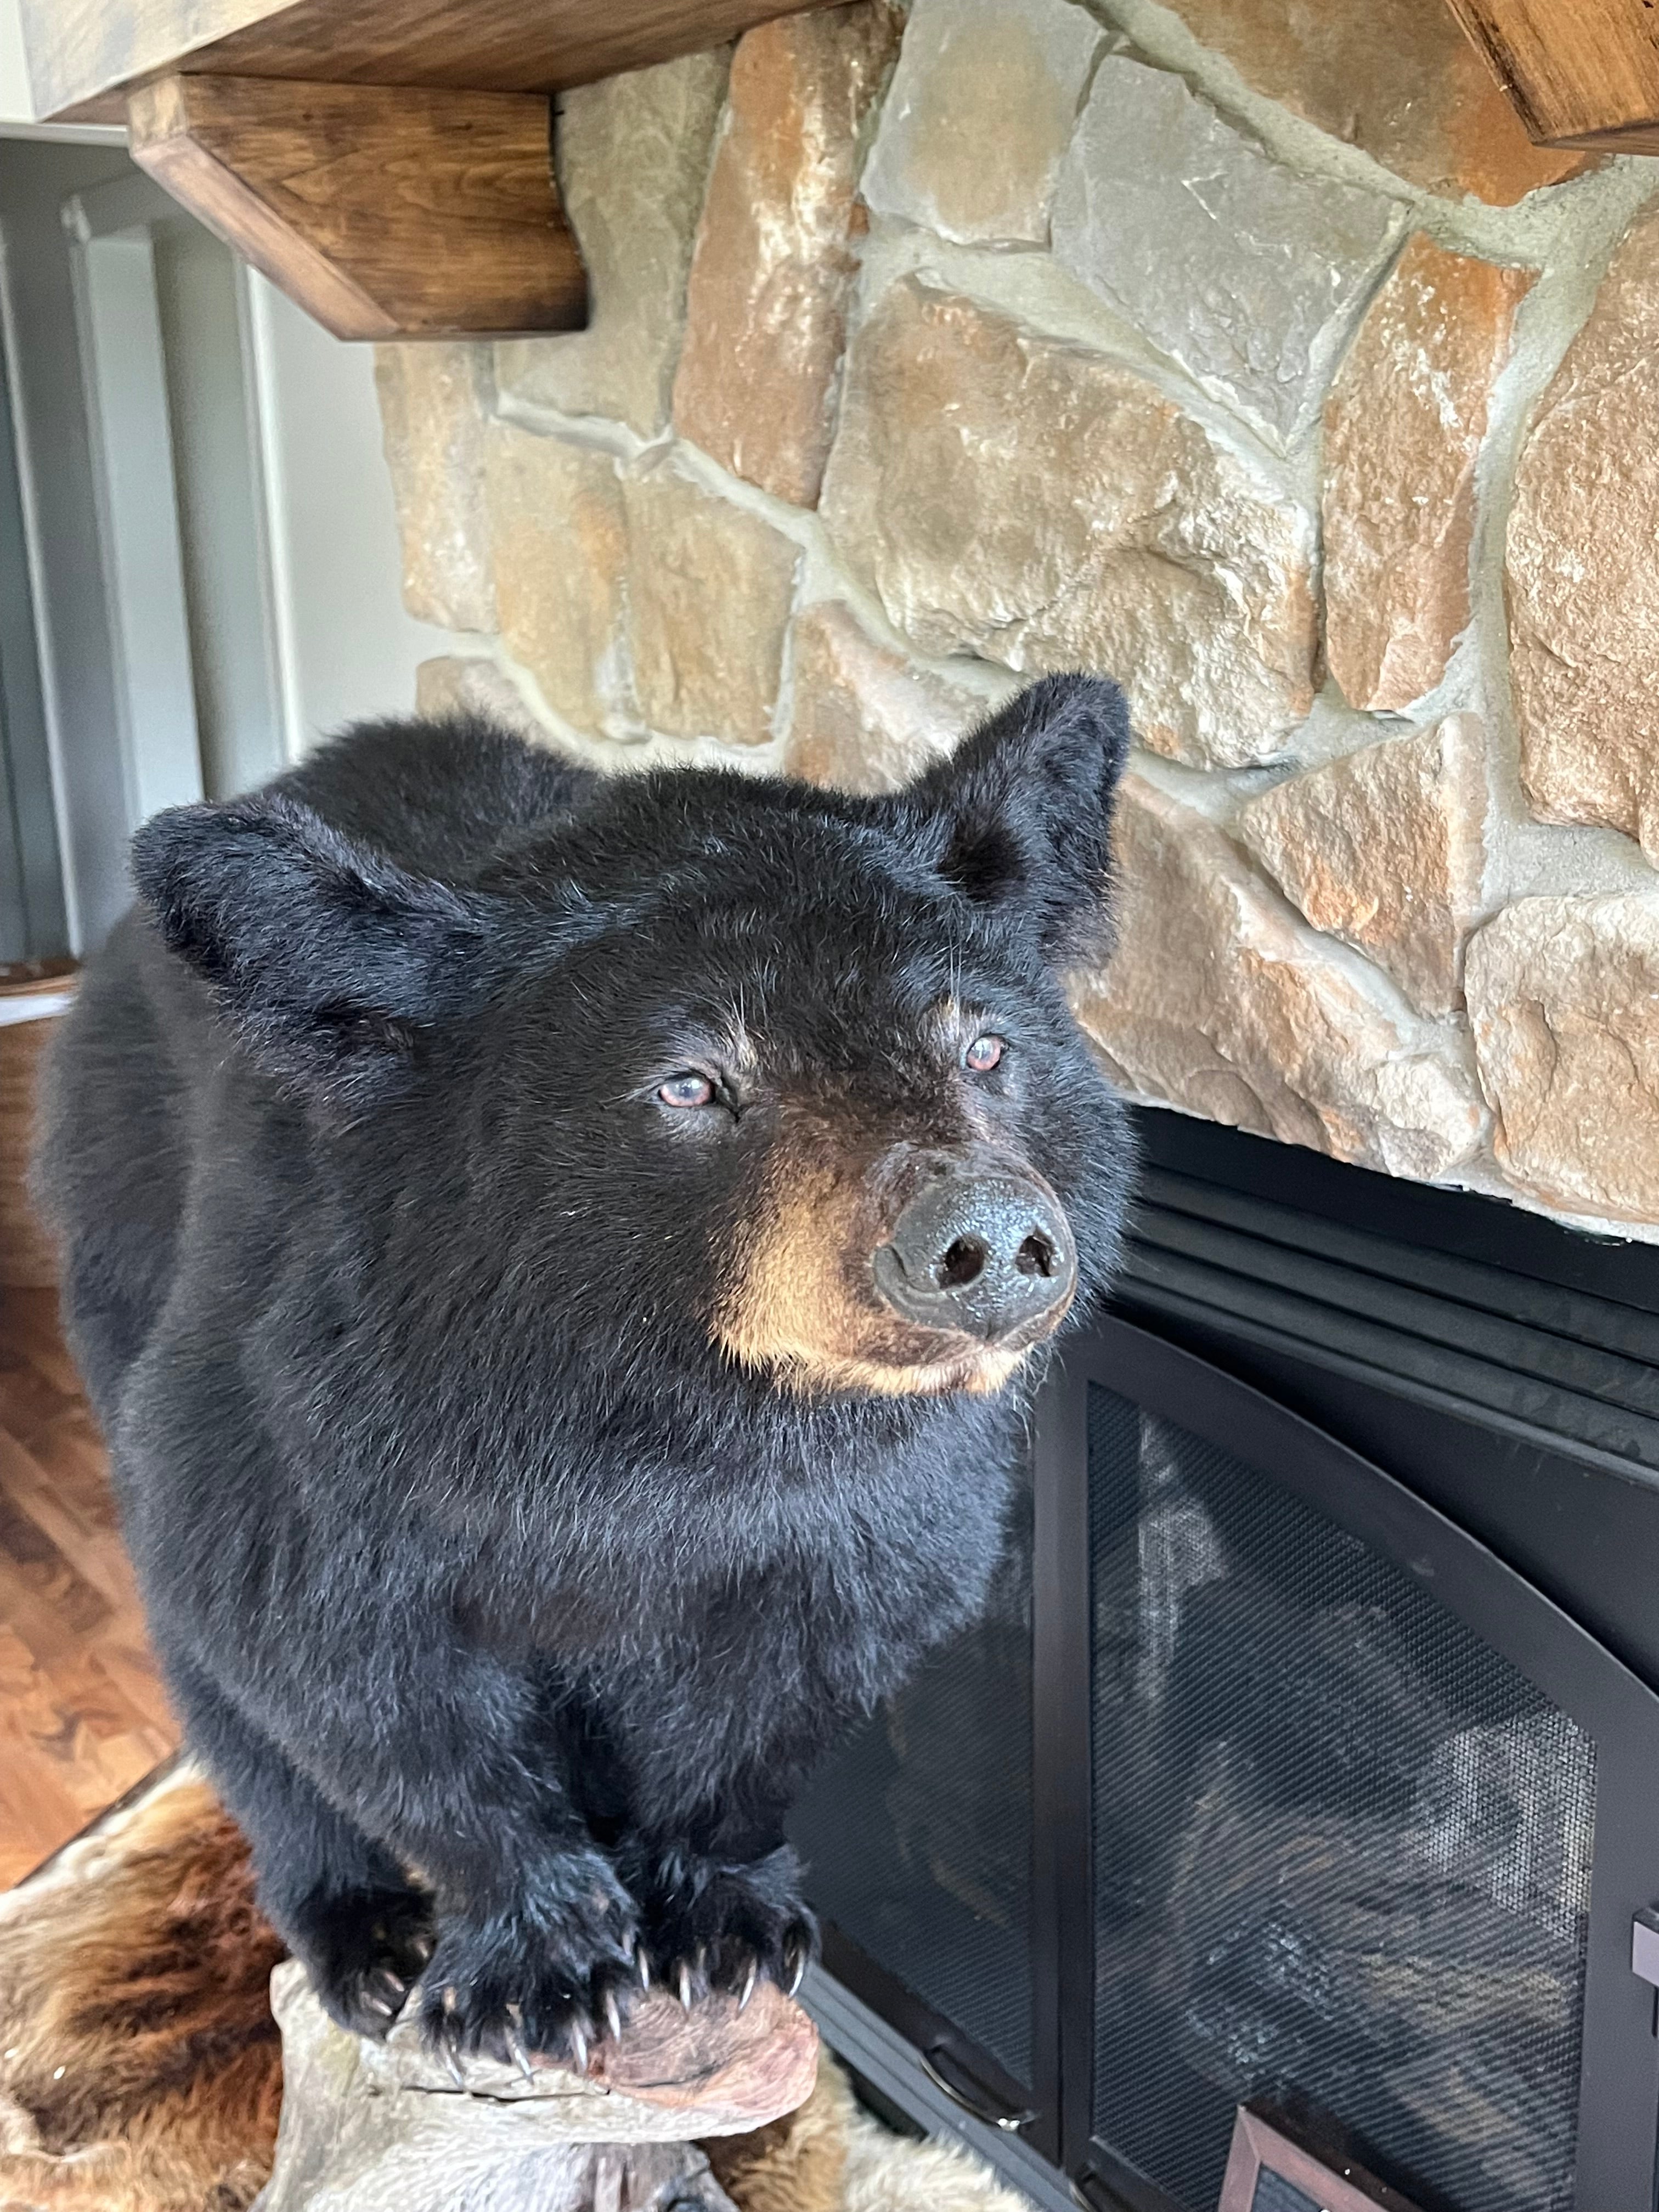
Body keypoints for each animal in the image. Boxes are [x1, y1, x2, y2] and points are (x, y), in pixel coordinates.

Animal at [35, 672, 1137, 2073]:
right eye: (690, 1082)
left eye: (984, 1046)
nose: (983, 1240)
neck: (673, 1422)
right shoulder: (315, 1425)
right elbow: (340, 1669)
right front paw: (535, 1965)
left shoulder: (875, 1511)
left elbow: (795, 1680)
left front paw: (718, 1916)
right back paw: (359, 1933)